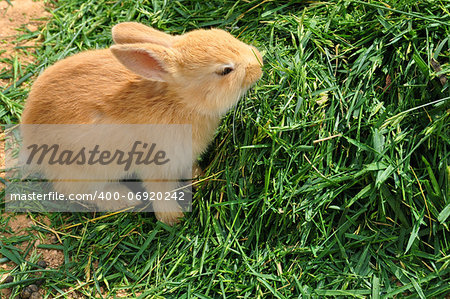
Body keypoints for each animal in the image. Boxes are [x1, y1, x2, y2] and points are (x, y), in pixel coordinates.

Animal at [19, 22, 262, 226]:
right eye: (225, 70)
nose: (259, 62)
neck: (179, 102)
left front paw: (198, 176)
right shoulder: (157, 164)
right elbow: (160, 190)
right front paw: (173, 218)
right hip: (85, 170)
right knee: (75, 189)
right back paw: (124, 199)